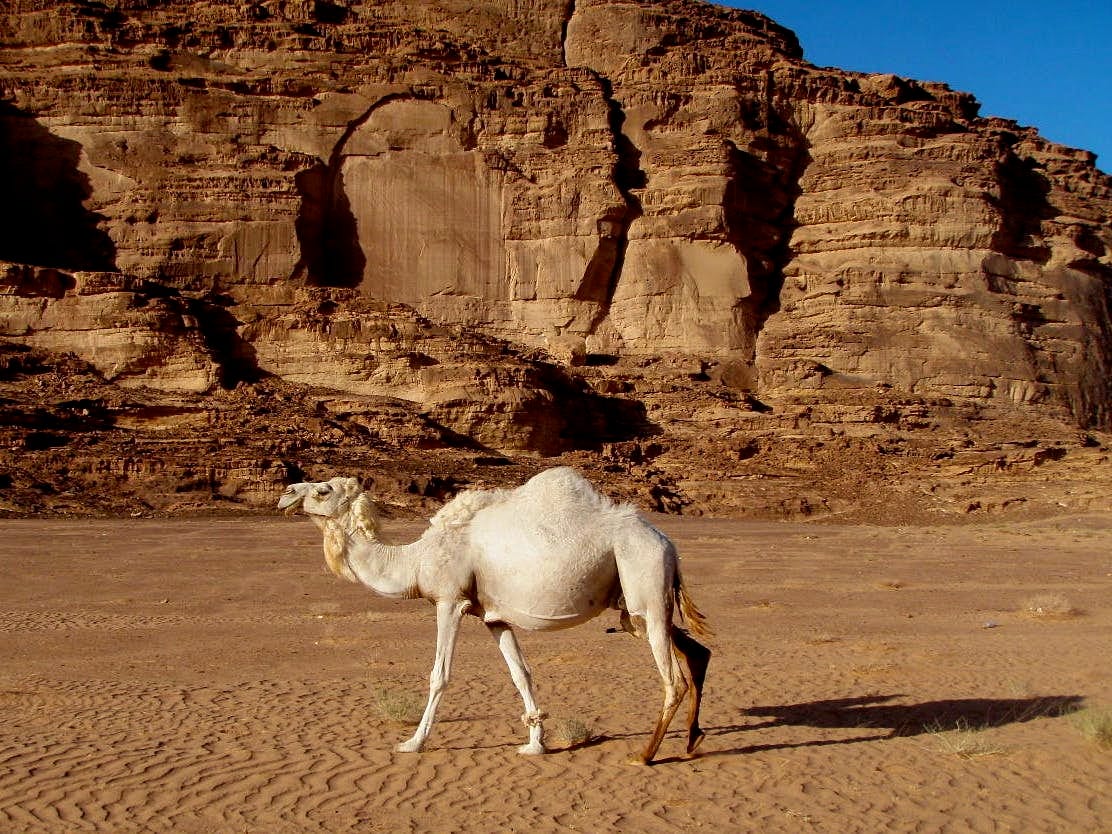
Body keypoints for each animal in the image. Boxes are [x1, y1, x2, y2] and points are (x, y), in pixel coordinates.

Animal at [278, 467, 711, 769]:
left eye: (322, 490)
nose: (285, 494)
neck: (417, 560)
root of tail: (668, 545)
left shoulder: (449, 601)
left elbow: (440, 674)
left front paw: (412, 743)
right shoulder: (492, 617)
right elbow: (521, 673)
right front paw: (535, 744)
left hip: (644, 582)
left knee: (672, 679)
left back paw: (645, 754)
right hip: (634, 608)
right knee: (695, 651)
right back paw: (693, 740)